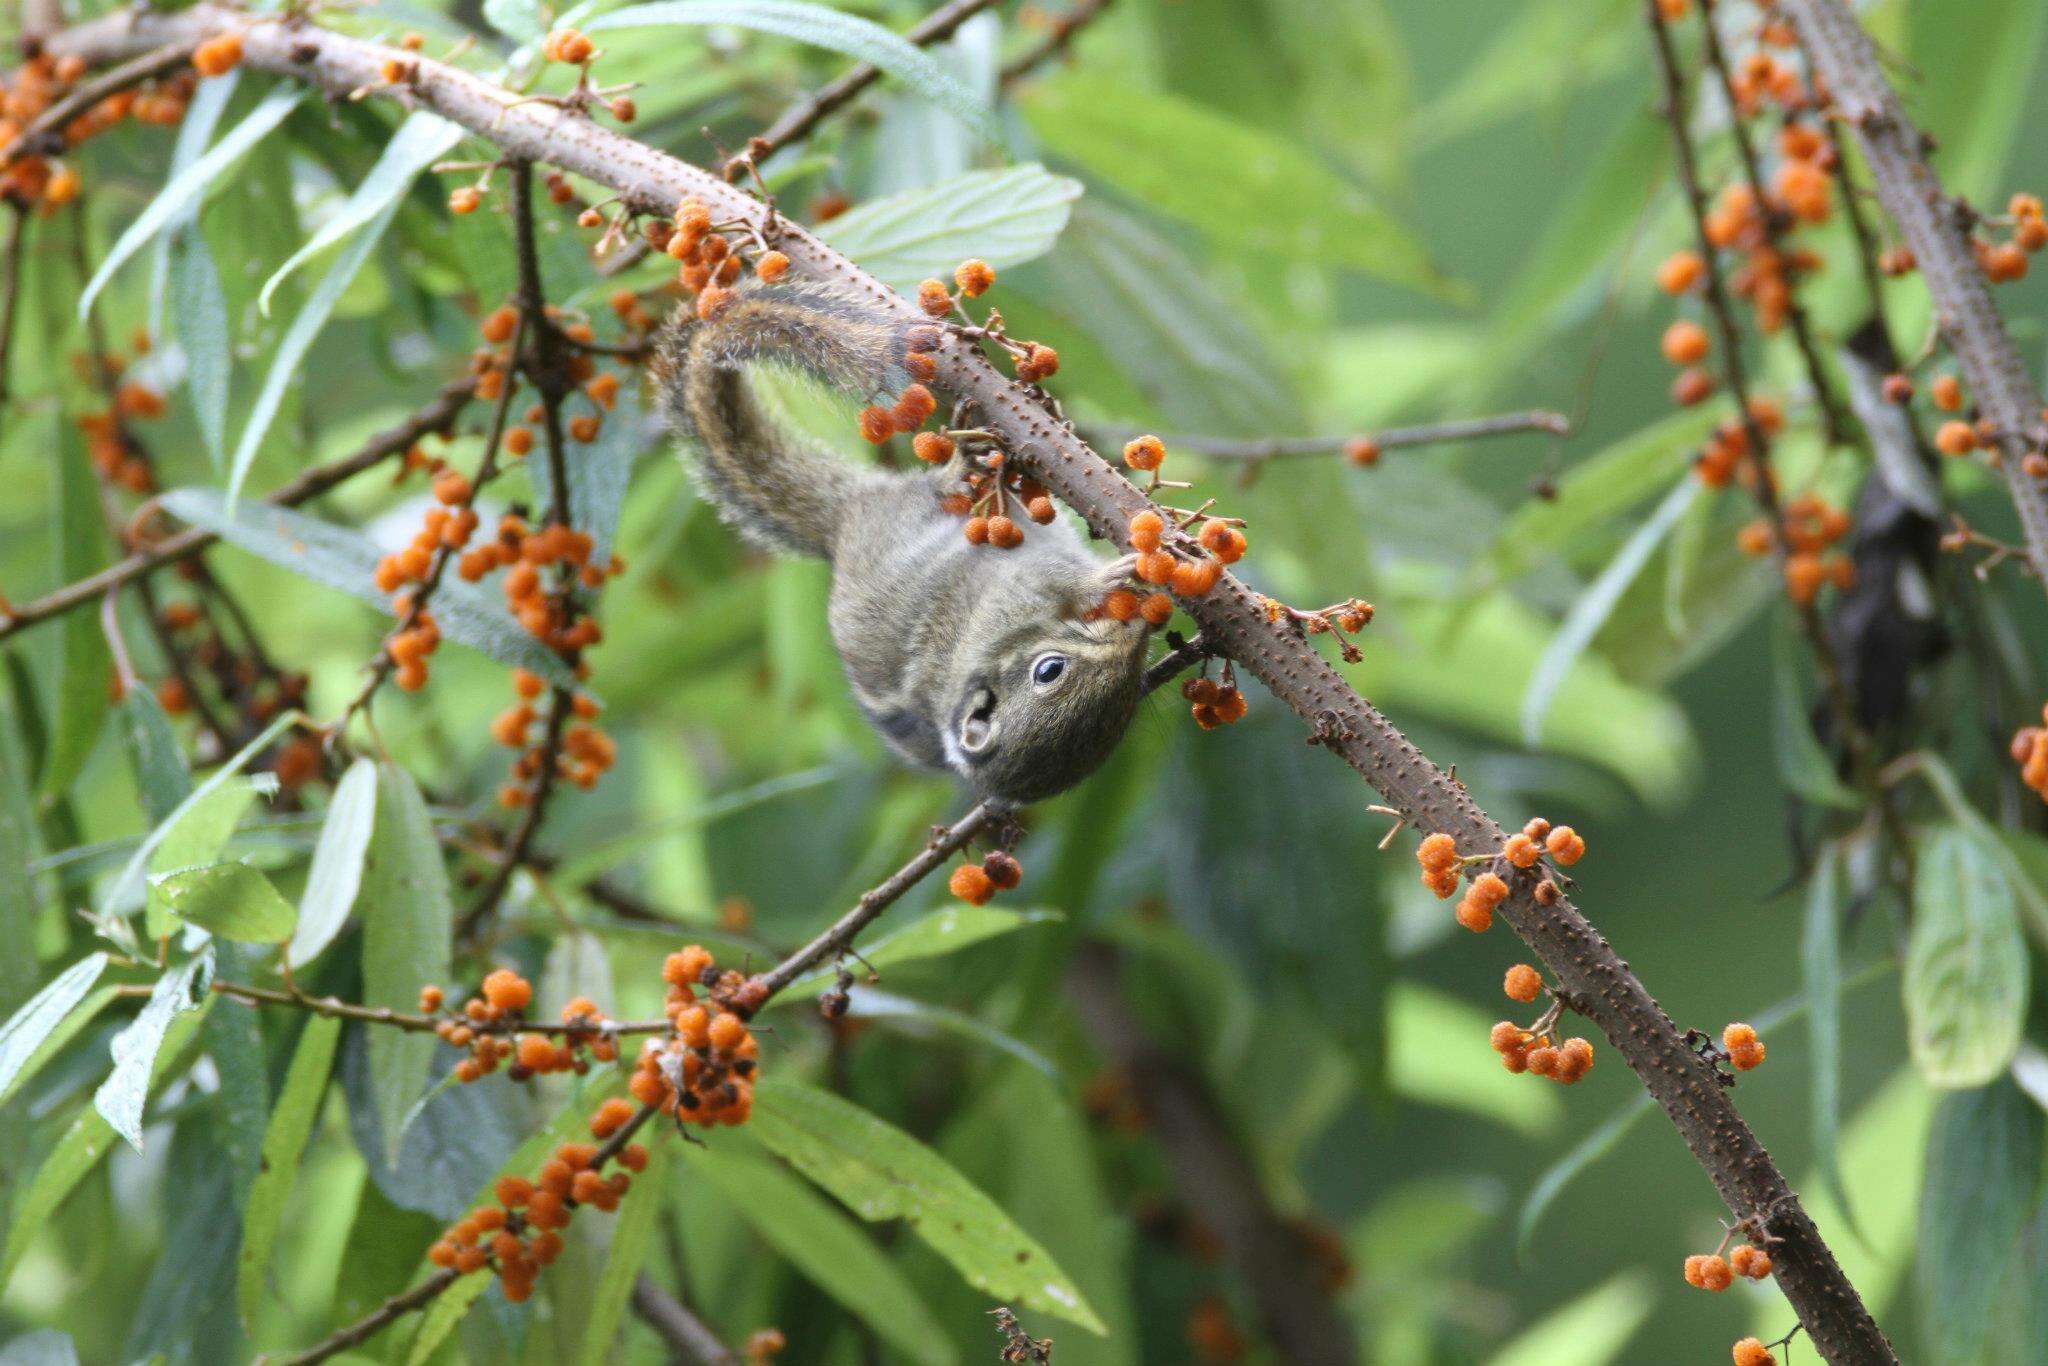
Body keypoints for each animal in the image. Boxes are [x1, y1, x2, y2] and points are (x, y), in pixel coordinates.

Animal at [655, 282, 1155, 806]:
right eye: (1049, 671)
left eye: (1120, 718)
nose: (1136, 633)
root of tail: (844, 518)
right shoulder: (1006, 603)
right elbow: (1056, 583)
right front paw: (1104, 580)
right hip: (917, 513)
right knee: (938, 491)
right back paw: (958, 470)